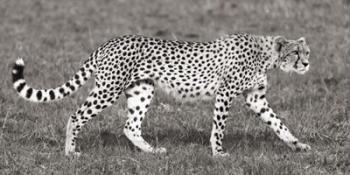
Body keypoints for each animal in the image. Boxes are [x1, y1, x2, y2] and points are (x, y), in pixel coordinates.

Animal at [11, 33, 312, 156]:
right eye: (296, 53)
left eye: (307, 52)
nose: (307, 64)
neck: (268, 54)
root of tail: (109, 42)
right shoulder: (225, 93)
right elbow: (219, 128)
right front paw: (218, 153)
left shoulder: (255, 98)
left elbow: (279, 124)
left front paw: (298, 145)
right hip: (108, 89)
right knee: (75, 115)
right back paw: (70, 151)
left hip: (143, 89)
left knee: (130, 126)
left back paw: (153, 151)